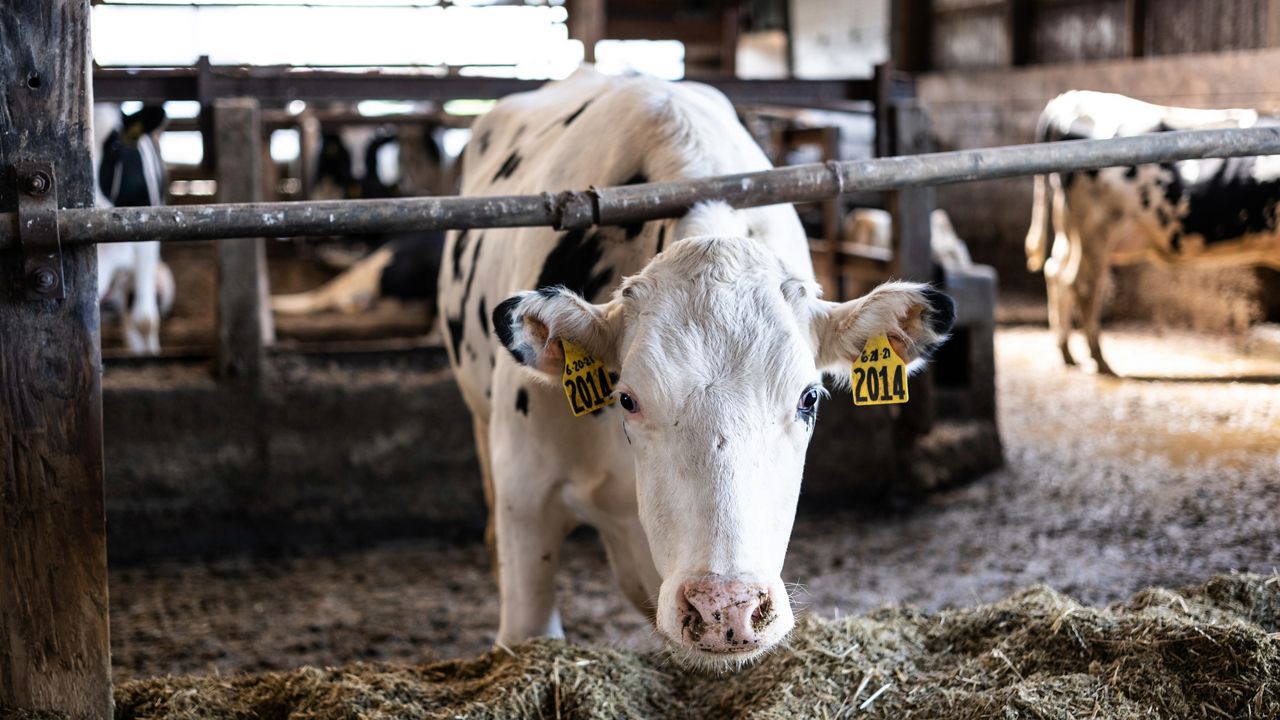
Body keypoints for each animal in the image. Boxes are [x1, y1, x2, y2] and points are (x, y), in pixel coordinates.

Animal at [1025, 90, 1280, 374]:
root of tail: (1071, 99)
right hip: (1095, 225)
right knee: (1083, 284)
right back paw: (1100, 360)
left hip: (1069, 225)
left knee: (1056, 272)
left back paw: (1067, 353)